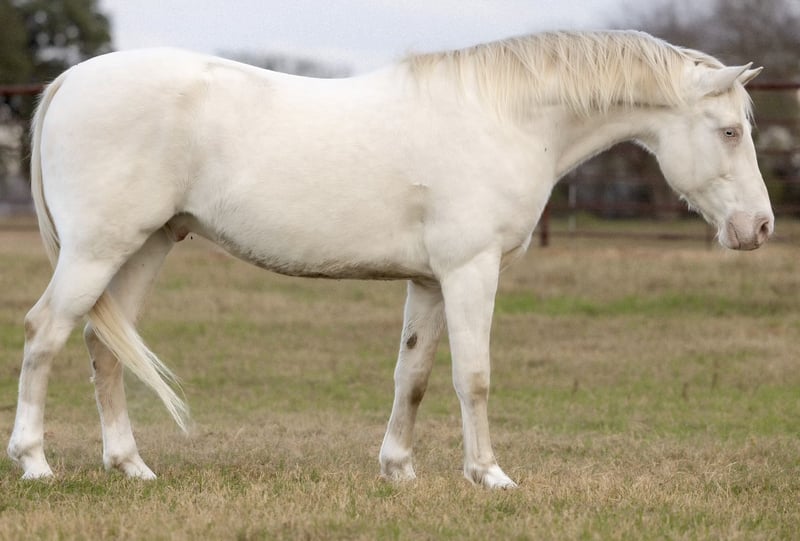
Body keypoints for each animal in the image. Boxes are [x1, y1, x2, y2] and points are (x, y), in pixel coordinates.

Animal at [8, 30, 772, 488]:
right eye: (730, 132)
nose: (759, 226)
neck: (503, 117)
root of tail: (69, 83)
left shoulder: (430, 282)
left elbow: (416, 376)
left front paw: (398, 468)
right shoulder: (471, 271)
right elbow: (474, 377)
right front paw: (489, 475)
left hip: (143, 248)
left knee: (102, 348)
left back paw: (130, 464)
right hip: (98, 251)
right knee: (44, 333)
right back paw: (35, 461)